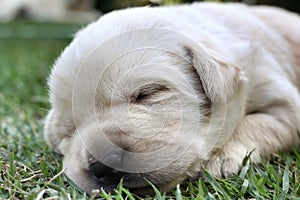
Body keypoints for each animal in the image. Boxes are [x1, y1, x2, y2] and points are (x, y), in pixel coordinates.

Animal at [44, 2, 300, 196]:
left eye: (147, 93)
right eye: (68, 131)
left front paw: (220, 159)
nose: (104, 166)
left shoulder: (283, 101)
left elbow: (257, 124)